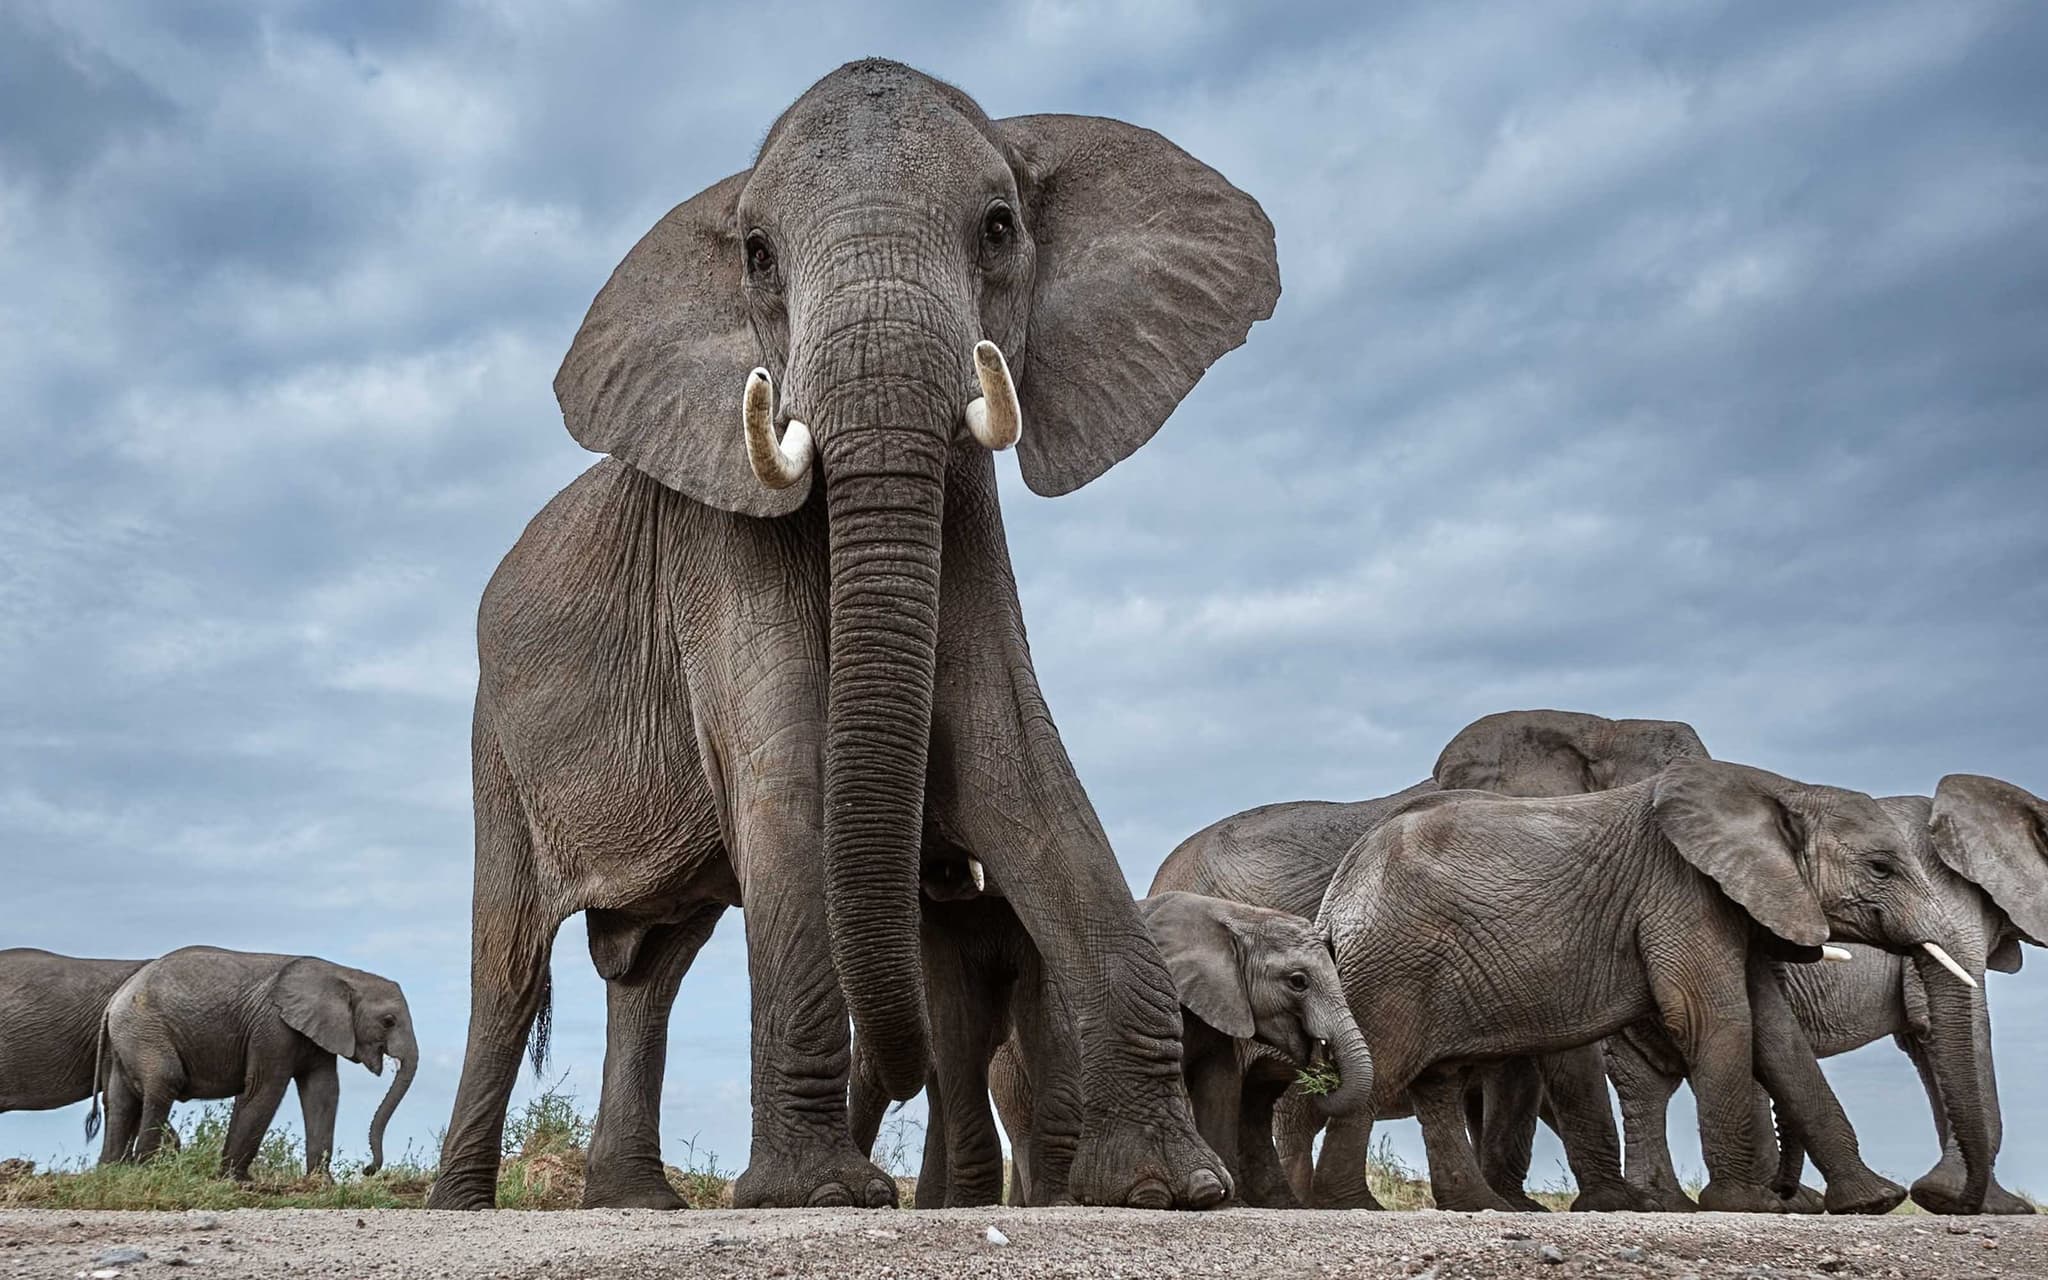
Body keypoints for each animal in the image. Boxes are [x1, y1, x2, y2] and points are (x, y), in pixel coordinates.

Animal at [93, 947, 416, 1180]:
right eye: (388, 1021)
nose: (368, 1170)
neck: (343, 974)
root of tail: (114, 1001)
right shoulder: (273, 1027)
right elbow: (264, 1089)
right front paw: (235, 1181)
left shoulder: (317, 1031)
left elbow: (322, 1091)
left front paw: (321, 1184)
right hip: (144, 1029)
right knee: (163, 1082)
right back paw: (146, 1172)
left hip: (128, 1037)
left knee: (120, 1100)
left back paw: (111, 1173)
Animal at [428, 58, 1280, 1212]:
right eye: (757, 255)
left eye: (999, 226)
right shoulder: (719, 540)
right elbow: (792, 775)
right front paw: (820, 1193)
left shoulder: (963, 509)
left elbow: (1022, 769)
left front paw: (1170, 1187)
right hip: (496, 747)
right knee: (511, 965)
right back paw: (464, 1204)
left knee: (652, 968)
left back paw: (635, 1201)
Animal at [1317, 758, 1989, 1214]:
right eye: (1882, 868)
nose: (1941, 1196)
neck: (1779, 789)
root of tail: (1339, 890)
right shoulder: (1681, 892)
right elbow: (1712, 1017)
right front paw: (1747, 1206)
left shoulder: (1736, 899)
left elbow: (1776, 1034)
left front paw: (1872, 1203)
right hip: (1392, 964)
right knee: (1381, 1067)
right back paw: (1344, 1204)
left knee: (1437, 1081)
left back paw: (1481, 1207)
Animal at [1608, 774, 2046, 1215]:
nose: (1964, 1202)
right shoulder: (1953, 908)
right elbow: (1956, 1026)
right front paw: (1980, 1204)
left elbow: (1927, 1042)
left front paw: (1960, 1199)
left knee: (1646, 1080)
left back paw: (1667, 1201)